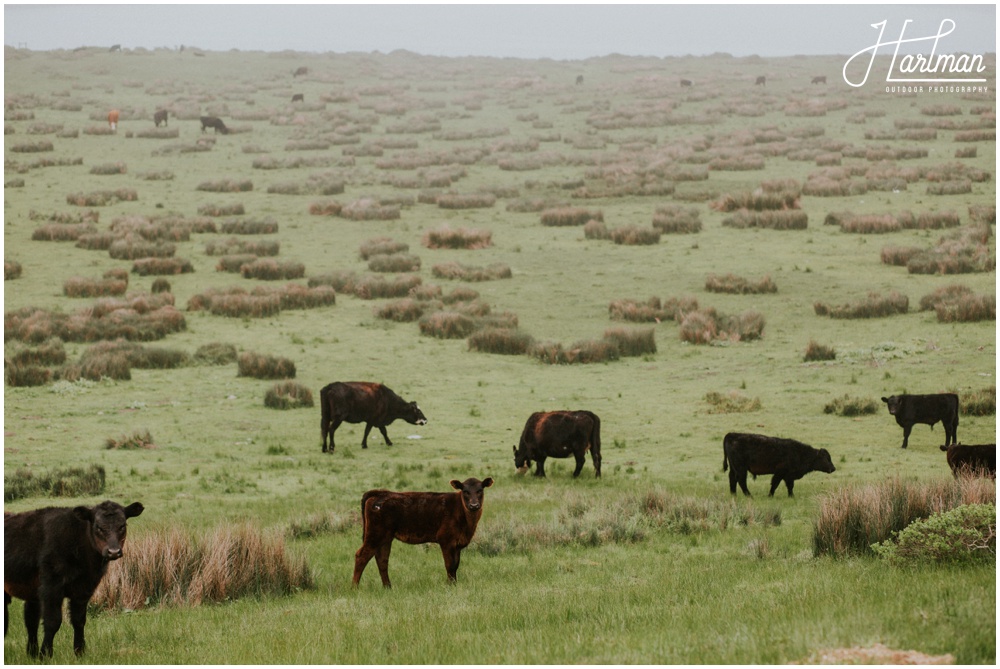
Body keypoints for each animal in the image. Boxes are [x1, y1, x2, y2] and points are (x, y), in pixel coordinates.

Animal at [4, 498, 143, 656]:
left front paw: (79, 652)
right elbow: (53, 621)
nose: (113, 551)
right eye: (98, 527)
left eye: (122, 526)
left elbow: (79, 620)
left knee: (30, 620)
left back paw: (31, 654)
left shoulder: (84, 589)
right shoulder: (51, 587)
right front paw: (45, 654)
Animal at [354, 478, 494, 588]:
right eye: (465, 491)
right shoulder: (446, 540)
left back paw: (388, 587)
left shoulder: (457, 544)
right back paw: (354, 587)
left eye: (480, 490)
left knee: (382, 560)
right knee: (362, 556)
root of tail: (380, 493)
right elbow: (449, 565)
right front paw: (450, 585)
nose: (474, 505)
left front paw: (454, 584)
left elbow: (456, 565)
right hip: (375, 534)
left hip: (386, 537)